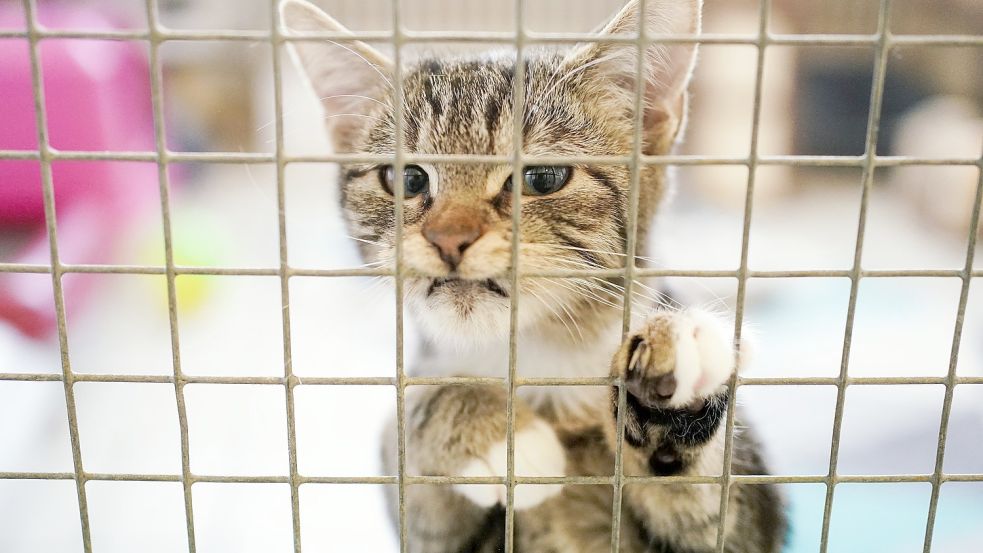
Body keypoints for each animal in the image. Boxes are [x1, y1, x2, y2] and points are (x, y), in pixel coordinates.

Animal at [280, 2, 788, 548]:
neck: (541, 357)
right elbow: (408, 417)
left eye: (542, 178)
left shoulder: (752, 528)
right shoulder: (431, 535)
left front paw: (668, 379)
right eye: (406, 178)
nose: (448, 238)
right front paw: (492, 431)